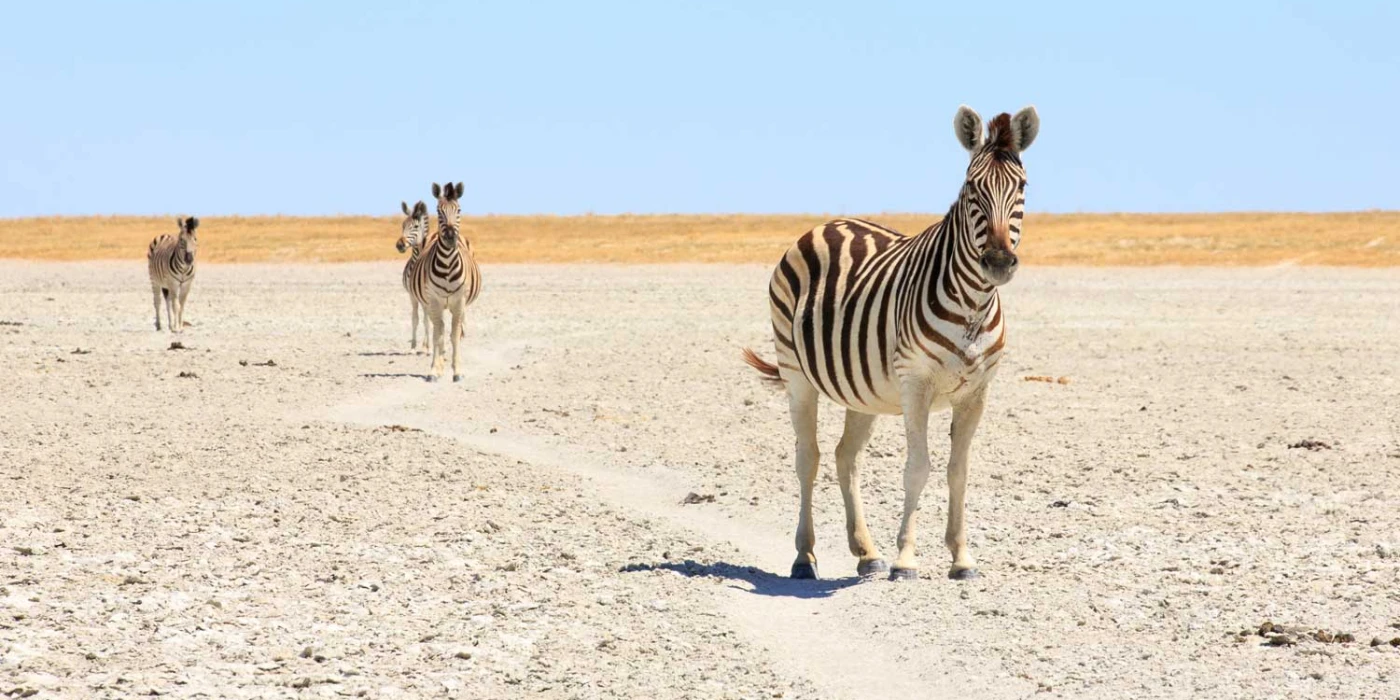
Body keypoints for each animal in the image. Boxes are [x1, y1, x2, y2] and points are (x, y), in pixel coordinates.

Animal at [408, 177, 484, 380]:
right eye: (438, 211)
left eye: (459, 210)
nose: (450, 237)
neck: (448, 265)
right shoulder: (434, 301)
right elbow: (438, 334)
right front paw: (435, 369)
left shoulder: (459, 302)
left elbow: (454, 334)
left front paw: (457, 371)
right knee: (437, 328)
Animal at [744, 106, 1041, 582]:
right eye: (971, 188)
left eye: (1022, 187)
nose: (997, 262)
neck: (973, 305)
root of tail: (828, 223)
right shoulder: (915, 383)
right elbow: (918, 468)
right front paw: (906, 560)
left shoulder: (977, 392)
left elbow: (959, 472)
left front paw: (962, 559)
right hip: (795, 374)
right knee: (808, 457)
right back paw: (805, 557)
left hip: (861, 390)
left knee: (846, 457)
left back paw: (866, 553)